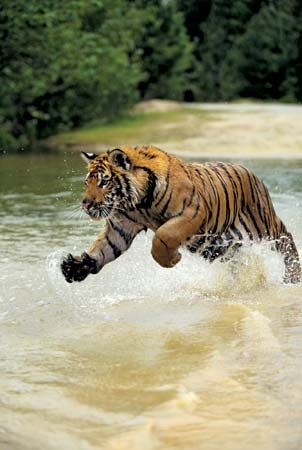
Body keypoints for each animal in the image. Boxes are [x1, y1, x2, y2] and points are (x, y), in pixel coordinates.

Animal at [60, 146, 300, 284]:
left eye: (104, 182)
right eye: (87, 182)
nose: (85, 204)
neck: (138, 203)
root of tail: (252, 173)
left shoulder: (192, 212)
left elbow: (163, 237)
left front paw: (172, 259)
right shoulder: (121, 227)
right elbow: (103, 248)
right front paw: (75, 267)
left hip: (261, 225)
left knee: (287, 239)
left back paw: (292, 277)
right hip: (221, 246)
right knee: (236, 261)